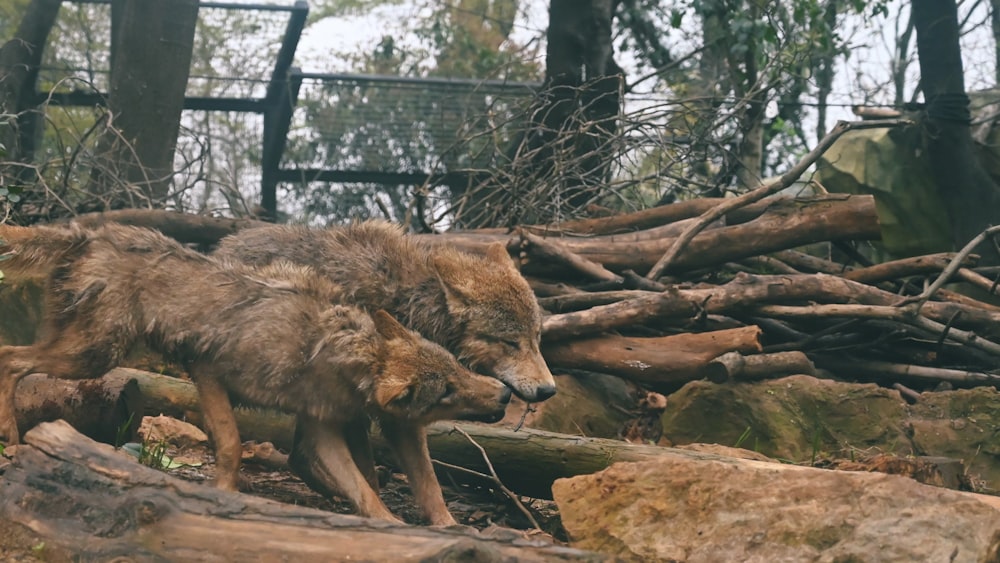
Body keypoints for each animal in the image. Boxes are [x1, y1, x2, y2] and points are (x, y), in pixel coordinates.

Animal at [0, 224, 512, 524]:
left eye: (456, 368)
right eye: (446, 392)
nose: (505, 396)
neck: (321, 351)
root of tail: (86, 232)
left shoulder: (324, 432)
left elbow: (366, 492)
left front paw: (391, 529)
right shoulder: (206, 369)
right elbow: (229, 444)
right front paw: (224, 496)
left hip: (89, 353)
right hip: (94, 356)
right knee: (9, 357)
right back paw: (10, 439)